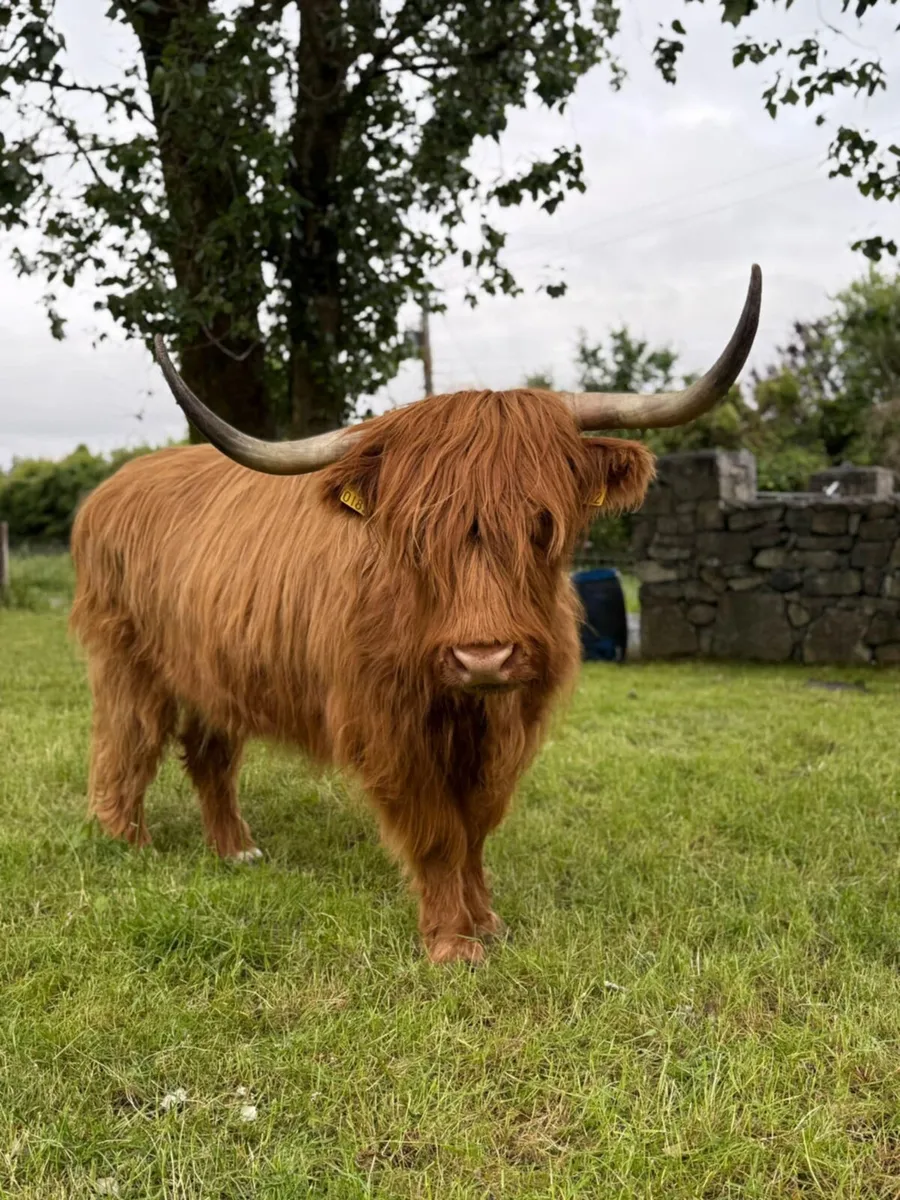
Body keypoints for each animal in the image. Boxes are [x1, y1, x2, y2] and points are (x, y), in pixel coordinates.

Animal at [69, 266, 761, 964]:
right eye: (418, 533)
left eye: (542, 524)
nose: (483, 656)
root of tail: (113, 486)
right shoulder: (387, 727)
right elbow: (436, 830)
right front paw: (453, 942)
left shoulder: (512, 721)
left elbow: (476, 824)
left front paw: (487, 920)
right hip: (125, 658)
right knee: (128, 739)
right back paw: (128, 841)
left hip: (216, 671)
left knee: (208, 753)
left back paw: (236, 850)